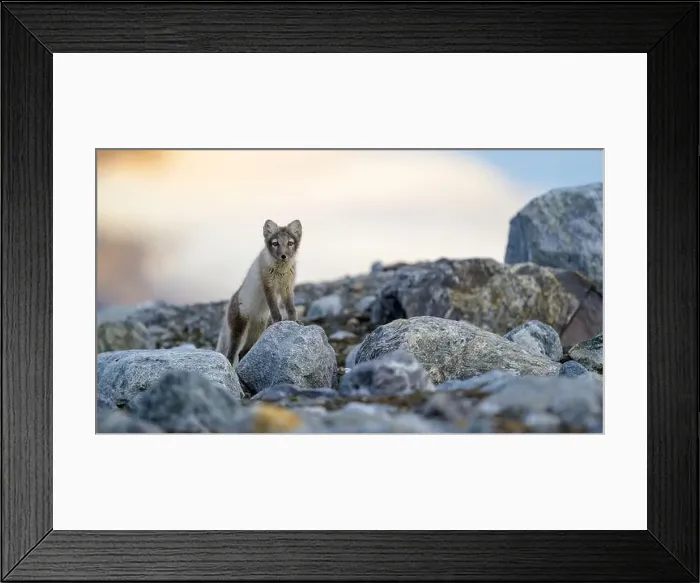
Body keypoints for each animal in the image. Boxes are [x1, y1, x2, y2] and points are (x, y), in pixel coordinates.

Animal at [216, 219, 302, 367]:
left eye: (290, 243)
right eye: (275, 243)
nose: (283, 256)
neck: (281, 271)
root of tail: (230, 301)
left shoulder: (287, 287)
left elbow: (291, 307)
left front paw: (294, 321)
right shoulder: (268, 285)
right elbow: (274, 309)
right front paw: (278, 322)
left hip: (256, 332)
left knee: (242, 353)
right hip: (239, 330)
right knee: (231, 354)